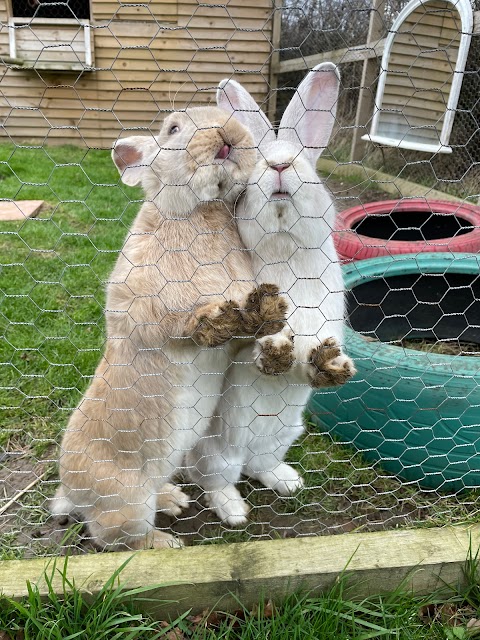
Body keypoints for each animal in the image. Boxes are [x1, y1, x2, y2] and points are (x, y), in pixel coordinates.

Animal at [50, 106, 286, 552]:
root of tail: (73, 494)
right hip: (127, 506)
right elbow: (178, 325)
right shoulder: (142, 310)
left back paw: (174, 499)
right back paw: (165, 543)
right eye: (173, 128)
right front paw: (213, 318)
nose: (228, 133)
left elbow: (256, 327)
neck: (199, 211)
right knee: (115, 539)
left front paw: (276, 332)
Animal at [187, 63, 356, 524]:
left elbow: (311, 357)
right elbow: (252, 348)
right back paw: (233, 511)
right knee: (216, 482)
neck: (285, 247)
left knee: (260, 466)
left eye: (303, 163)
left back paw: (288, 482)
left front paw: (328, 365)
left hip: (283, 436)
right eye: (261, 162)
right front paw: (273, 351)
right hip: (219, 453)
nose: (280, 165)